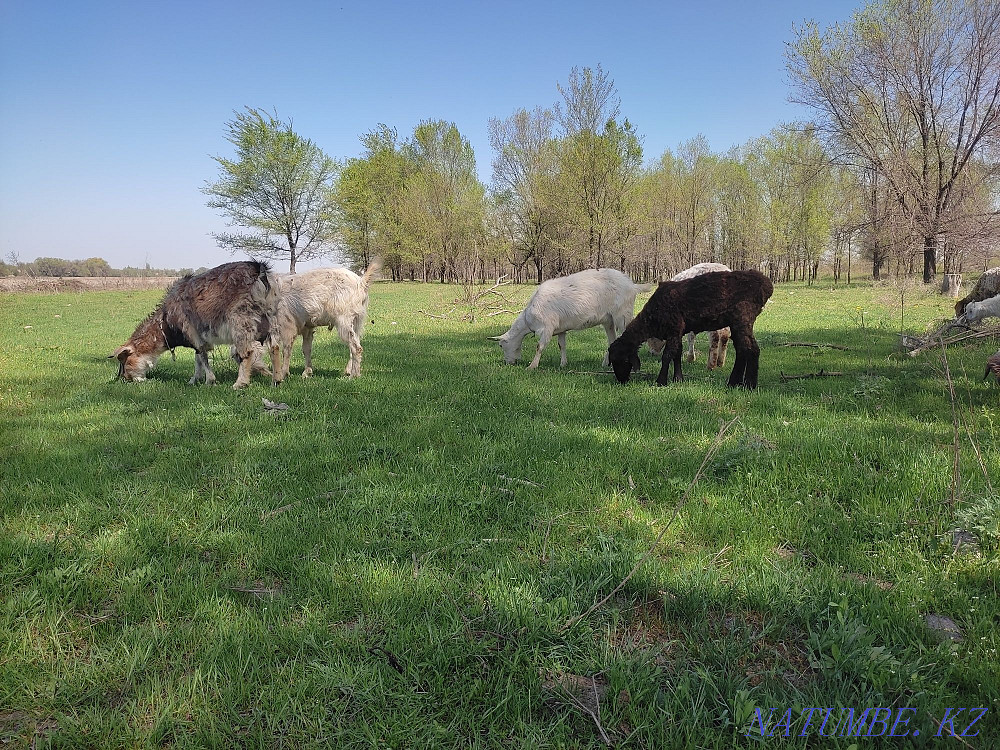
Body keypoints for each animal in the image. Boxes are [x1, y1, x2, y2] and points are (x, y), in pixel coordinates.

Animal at [110, 260, 281, 388]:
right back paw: (277, 379)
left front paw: (209, 381)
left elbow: (202, 357)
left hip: (240, 320)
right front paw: (194, 380)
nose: (125, 379)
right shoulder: (198, 337)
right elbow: (198, 358)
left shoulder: (193, 332)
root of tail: (259, 270)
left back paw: (240, 383)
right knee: (275, 347)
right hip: (271, 317)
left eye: (125, 361)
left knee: (248, 352)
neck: (165, 323)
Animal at [490, 269, 655, 369]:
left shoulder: (547, 327)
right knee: (612, 340)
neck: (528, 318)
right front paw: (563, 364)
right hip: (608, 320)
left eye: (501, 345)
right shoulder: (560, 328)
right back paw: (605, 364)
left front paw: (532, 366)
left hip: (622, 315)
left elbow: (540, 346)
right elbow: (561, 345)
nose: (508, 363)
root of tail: (632, 286)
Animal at [608, 270, 773, 388]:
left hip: (743, 317)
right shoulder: (677, 331)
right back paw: (734, 382)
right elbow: (677, 354)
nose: (621, 380)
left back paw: (749, 385)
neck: (651, 317)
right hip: (738, 322)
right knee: (742, 349)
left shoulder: (674, 328)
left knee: (751, 349)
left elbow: (667, 355)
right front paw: (678, 379)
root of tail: (766, 284)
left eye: (623, 360)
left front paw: (661, 381)